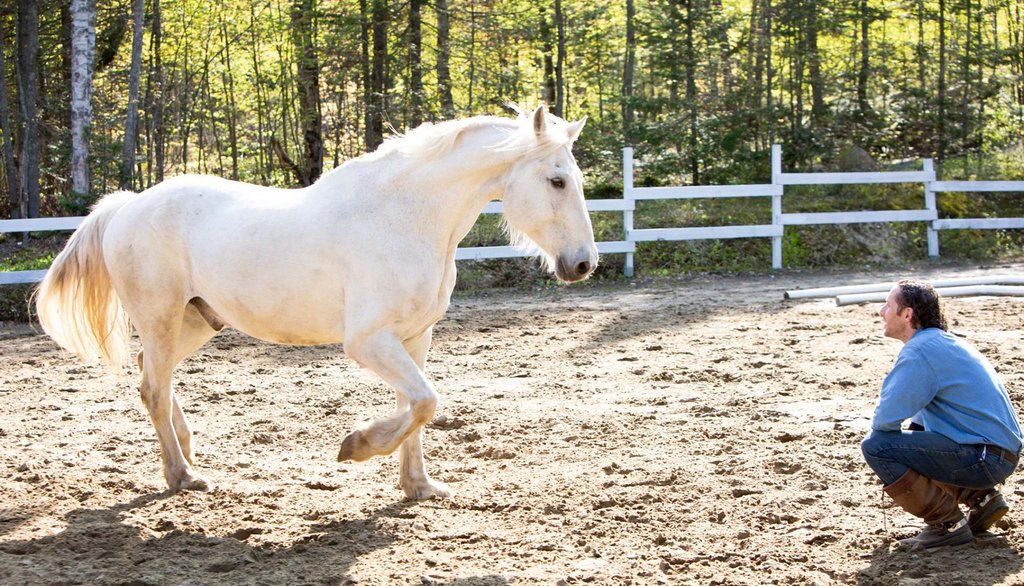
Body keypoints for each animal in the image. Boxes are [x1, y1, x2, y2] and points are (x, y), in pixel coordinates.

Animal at [36, 105, 598, 499]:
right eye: (556, 180)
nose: (583, 264)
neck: (403, 218)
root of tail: (129, 205)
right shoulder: (369, 343)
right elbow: (425, 402)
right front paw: (356, 447)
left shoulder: (415, 339)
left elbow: (416, 408)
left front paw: (418, 487)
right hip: (160, 315)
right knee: (152, 387)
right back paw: (183, 476)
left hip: (195, 322)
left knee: (153, 377)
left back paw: (189, 451)